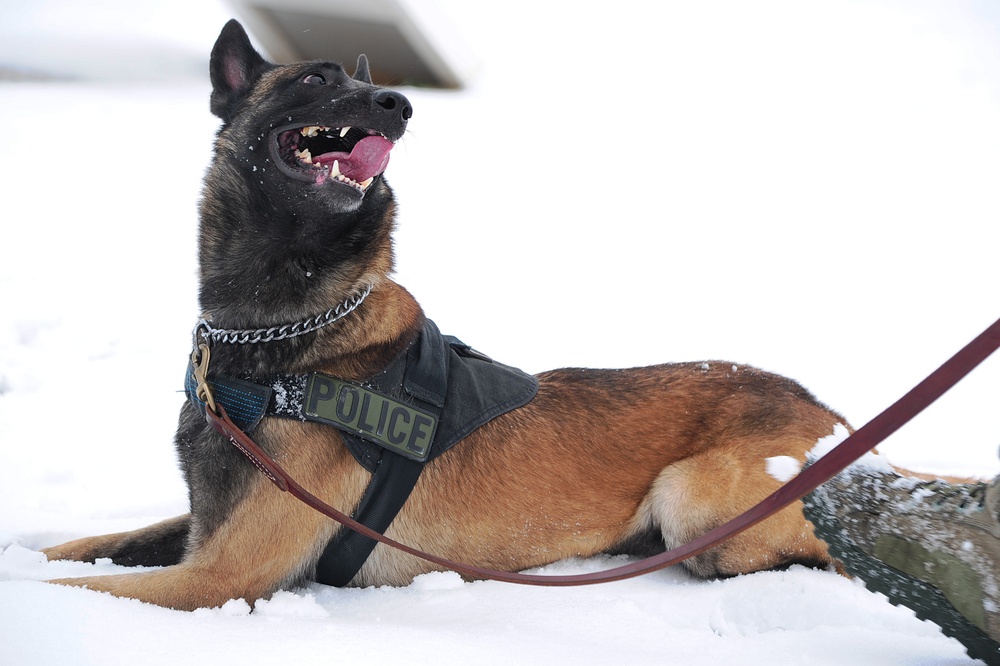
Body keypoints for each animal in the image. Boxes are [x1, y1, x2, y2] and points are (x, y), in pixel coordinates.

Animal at [43, 18, 848, 608]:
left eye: (368, 85)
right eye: (316, 79)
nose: (397, 104)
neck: (288, 330)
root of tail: (832, 416)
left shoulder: (222, 573)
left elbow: (78, 586)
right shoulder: (204, 531)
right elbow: (88, 546)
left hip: (692, 496)